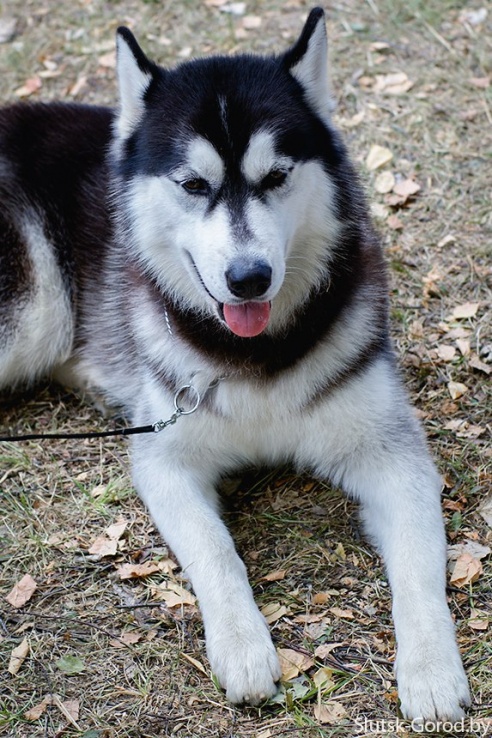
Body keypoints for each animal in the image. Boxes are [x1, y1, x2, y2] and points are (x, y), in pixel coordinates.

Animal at [0, 7, 468, 720]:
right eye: (193, 186)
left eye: (276, 177)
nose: (249, 278)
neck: (252, 354)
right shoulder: (165, 458)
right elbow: (217, 551)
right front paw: (244, 649)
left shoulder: (393, 456)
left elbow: (420, 568)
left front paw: (433, 671)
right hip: (35, 315)